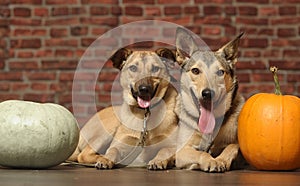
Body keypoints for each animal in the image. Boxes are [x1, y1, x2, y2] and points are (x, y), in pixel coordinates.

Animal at [175, 28, 245, 173]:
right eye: (195, 70)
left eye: (220, 72)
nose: (208, 93)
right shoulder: (182, 151)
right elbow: (202, 153)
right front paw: (210, 161)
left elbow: (232, 146)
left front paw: (221, 160)